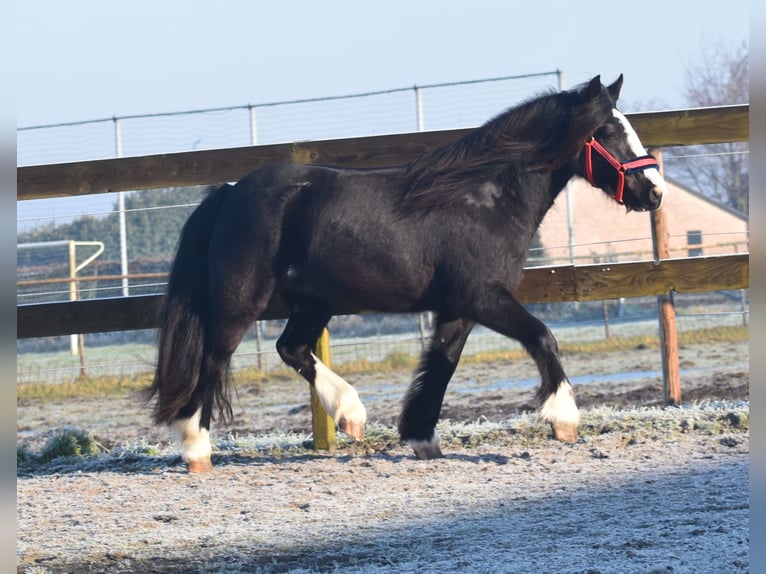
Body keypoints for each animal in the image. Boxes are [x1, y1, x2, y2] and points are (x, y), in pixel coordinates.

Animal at [148, 75, 664, 472]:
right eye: (607, 131)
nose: (654, 191)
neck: (484, 199)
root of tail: (230, 191)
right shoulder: (484, 296)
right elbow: (543, 338)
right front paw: (563, 419)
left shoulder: (458, 308)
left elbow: (440, 365)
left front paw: (421, 438)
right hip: (240, 302)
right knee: (212, 362)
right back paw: (196, 448)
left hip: (314, 302)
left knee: (291, 349)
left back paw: (350, 414)